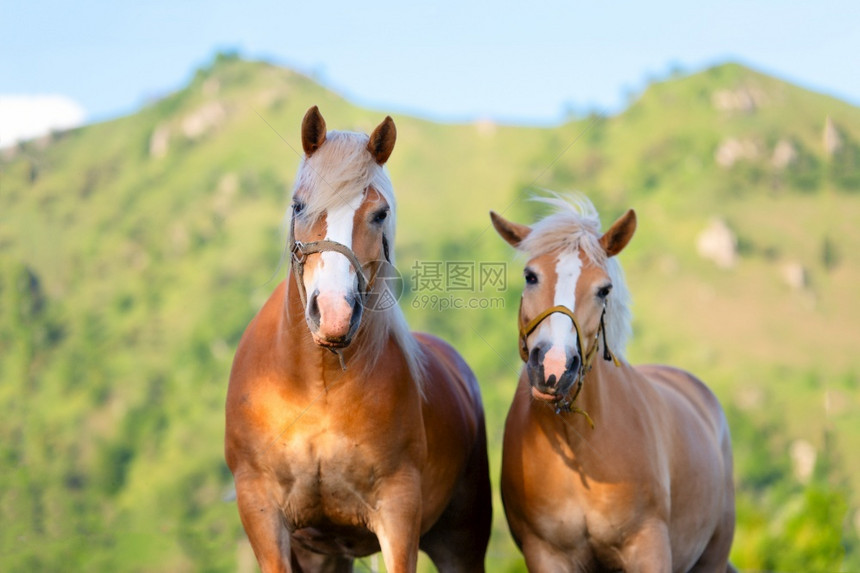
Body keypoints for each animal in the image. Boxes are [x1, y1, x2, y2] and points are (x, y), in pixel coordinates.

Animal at [225, 106, 494, 568]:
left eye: (379, 214)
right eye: (298, 204)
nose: (334, 314)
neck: (317, 388)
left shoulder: (399, 510)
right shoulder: (260, 510)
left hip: (460, 542)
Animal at [490, 194, 732, 568]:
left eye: (604, 289)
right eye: (530, 276)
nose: (554, 368)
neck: (579, 447)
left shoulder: (648, 548)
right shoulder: (546, 554)